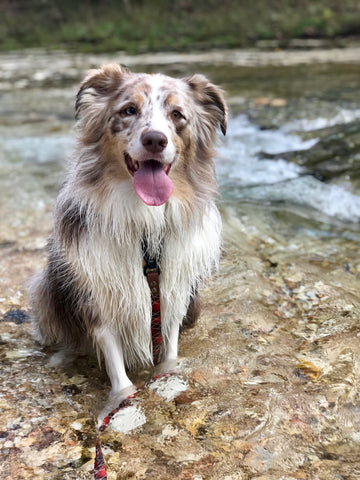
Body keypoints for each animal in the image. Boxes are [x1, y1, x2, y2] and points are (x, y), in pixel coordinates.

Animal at [29, 63, 226, 400]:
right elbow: (114, 360)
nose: (155, 140)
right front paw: (123, 398)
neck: (145, 220)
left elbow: (169, 345)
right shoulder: (99, 293)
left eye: (177, 114)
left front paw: (167, 376)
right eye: (129, 110)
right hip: (48, 286)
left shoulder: (172, 292)